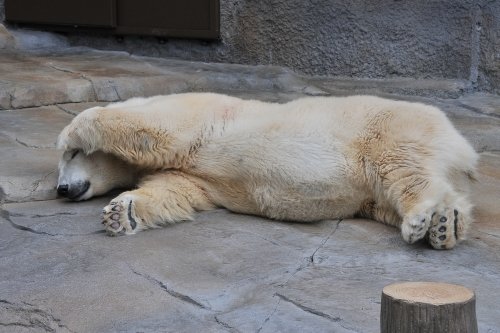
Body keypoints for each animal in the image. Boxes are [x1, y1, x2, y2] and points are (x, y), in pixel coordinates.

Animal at [56, 92, 478, 248]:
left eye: (72, 156)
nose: (61, 189)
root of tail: (460, 141)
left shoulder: (195, 113)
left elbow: (152, 128)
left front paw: (73, 129)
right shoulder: (189, 172)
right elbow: (176, 191)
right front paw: (120, 214)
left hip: (386, 129)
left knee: (404, 171)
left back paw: (426, 219)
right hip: (374, 187)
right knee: (387, 198)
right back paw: (445, 225)